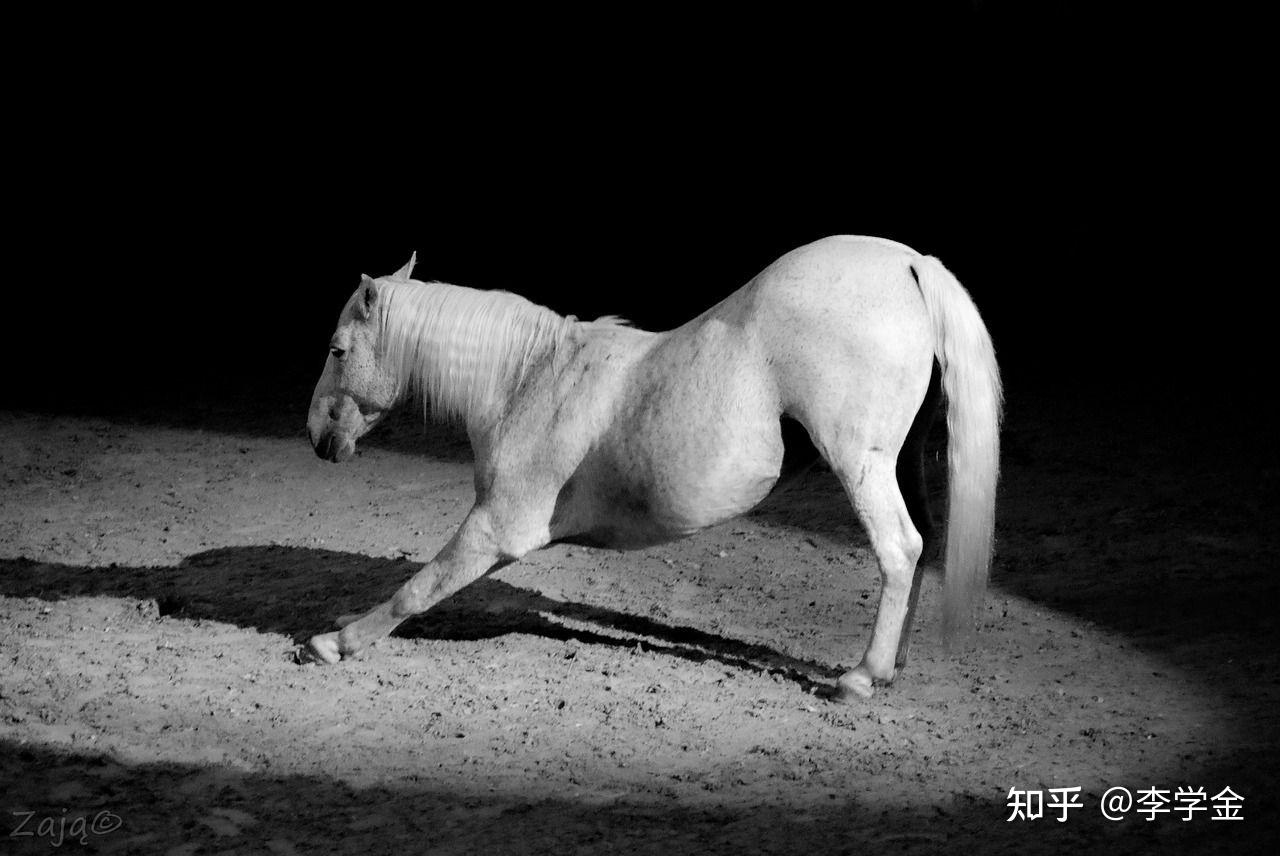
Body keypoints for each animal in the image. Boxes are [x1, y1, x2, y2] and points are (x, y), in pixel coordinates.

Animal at [306, 236, 1001, 701]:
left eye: (338, 350)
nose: (317, 437)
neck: (530, 380)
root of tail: (907, 263)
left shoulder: (496, 528)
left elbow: (418, 587)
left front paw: (335, 643)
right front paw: (342, 625)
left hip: (861, 461)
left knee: (899, 548)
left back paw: (861, 676)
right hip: (899, 462)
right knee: (922, 545)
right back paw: (892, 664)